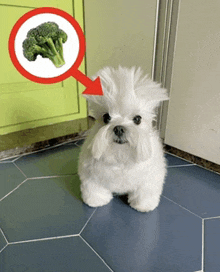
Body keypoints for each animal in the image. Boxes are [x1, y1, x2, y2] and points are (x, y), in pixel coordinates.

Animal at [78, 66, 168, 212]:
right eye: (106, 117)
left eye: (137, 119)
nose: (119, 128)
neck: (121, 157)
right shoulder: (92, 178)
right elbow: (95, 190)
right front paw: (96, 202)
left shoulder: (149, 180)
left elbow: (144, 193)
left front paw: (144, 206)